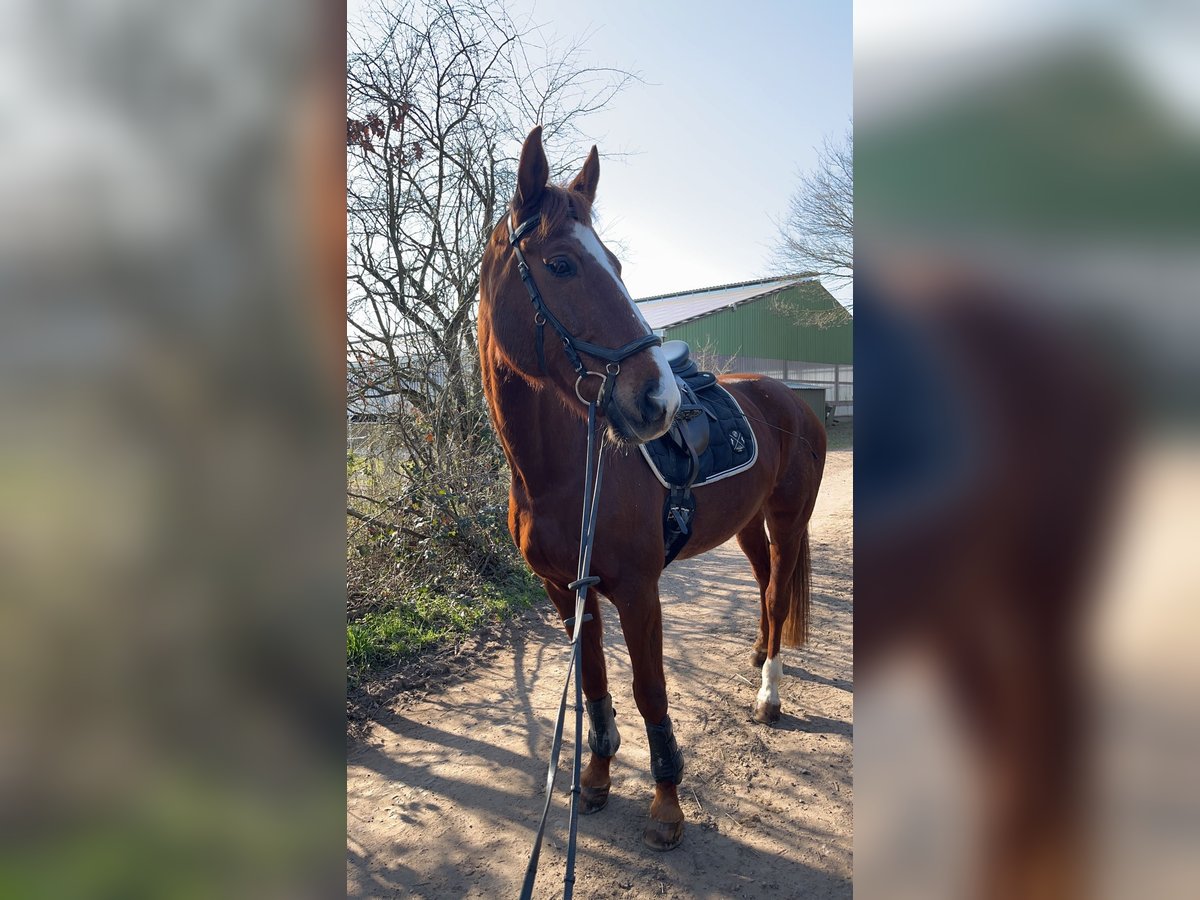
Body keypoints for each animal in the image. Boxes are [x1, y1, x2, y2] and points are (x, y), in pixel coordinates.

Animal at [477, 128, 825, 854]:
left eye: (612, 261)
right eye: (561, 265)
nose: (656, 400)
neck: (568, 474)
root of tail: (793, 402)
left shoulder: (639, 592)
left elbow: (649, 692)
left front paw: (667, 805)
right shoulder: (566, 592)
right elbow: (594, 685)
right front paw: (596, 777)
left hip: (788, 521)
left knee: (779, 593)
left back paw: (769, 694)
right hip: (747, 525)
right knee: (763, 589)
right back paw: (758, 656)